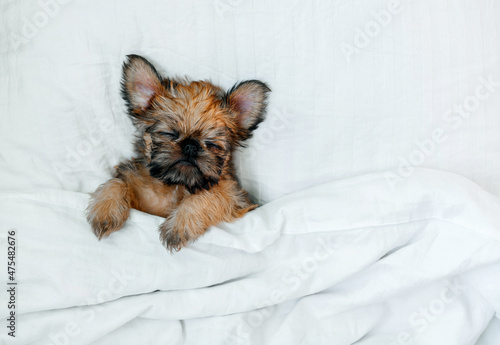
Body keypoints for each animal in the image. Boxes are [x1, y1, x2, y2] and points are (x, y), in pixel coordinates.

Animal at [88, 55, 272, 251]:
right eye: (170, 134)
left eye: (211, 143)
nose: (190, 146)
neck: (175, 185)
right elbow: (117, 182)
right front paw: (105, 211)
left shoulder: (234, 197)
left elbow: (207, 196)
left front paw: (180, 225)